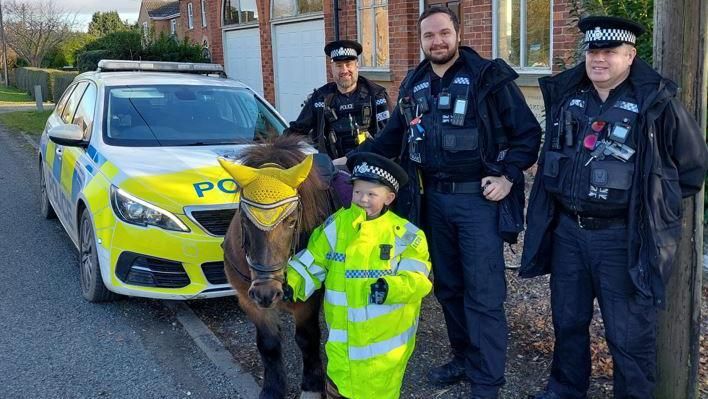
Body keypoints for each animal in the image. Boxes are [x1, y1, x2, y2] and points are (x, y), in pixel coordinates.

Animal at [220, 136, 336, 398]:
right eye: (244, 220)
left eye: (291, 221)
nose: (267, 292)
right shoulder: (249, 301)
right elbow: (269, 345)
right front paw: (273, 389)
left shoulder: (308, 302)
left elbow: (307, 339)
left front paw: (312, 387)